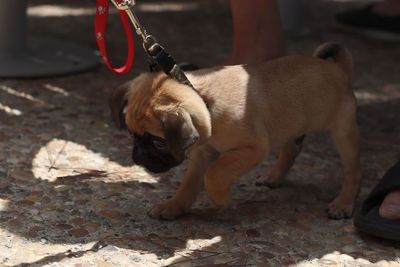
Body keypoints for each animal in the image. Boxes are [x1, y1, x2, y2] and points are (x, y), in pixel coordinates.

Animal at [110, 43, 362, 221]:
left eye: (159, 143)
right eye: (132, 136)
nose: (138, 157)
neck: (205, 99)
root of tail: (337, 68)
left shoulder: (253, 149)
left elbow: (214, 173)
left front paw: (220, 199)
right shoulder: (202, 152)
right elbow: (190, 183)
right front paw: (174, 206)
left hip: (343, 133)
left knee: (353, 171)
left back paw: (343, 204)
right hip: (295, 125)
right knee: (291, 150)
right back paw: (274, 177)